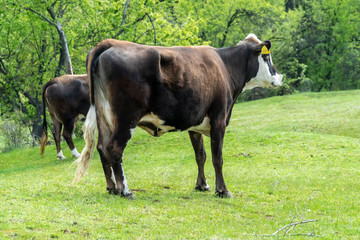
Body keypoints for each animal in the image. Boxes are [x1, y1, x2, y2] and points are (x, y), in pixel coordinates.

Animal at [72, 33, 282, 199]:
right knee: (114, 148)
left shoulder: (195, 124)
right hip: (126, 118)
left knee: (101, 148)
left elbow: (201, 155)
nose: (280, 77)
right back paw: (125, 190)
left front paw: (202, 185)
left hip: (103, 115)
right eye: (267, 56)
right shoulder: (219, 119)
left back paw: (112, 188)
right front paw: (222, 190)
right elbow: (217, 158)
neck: (225, 66)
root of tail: (110, 43)